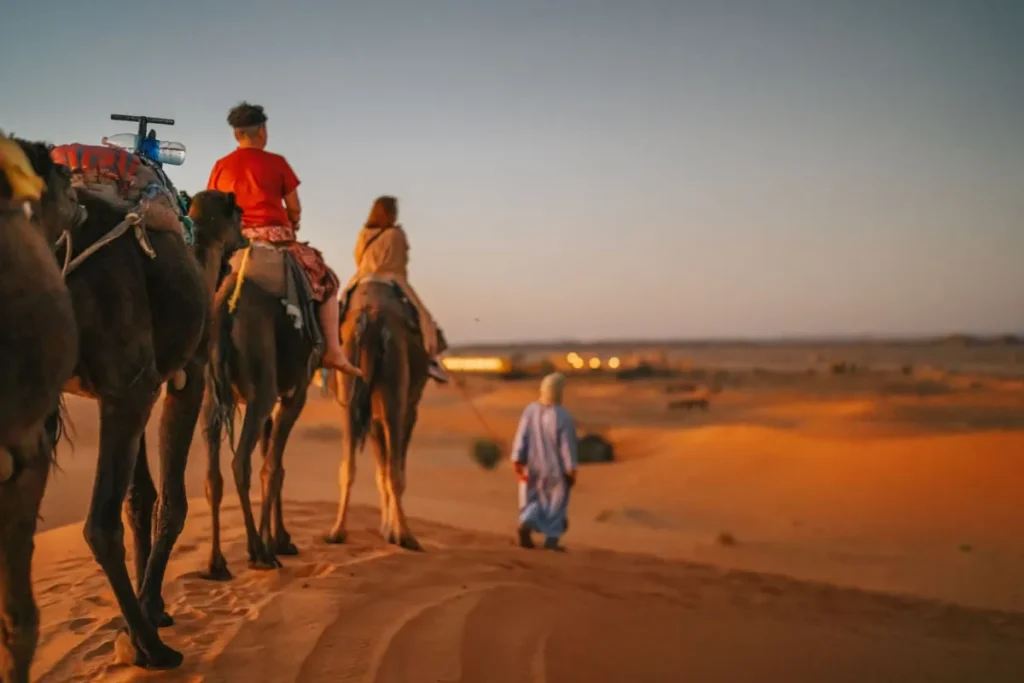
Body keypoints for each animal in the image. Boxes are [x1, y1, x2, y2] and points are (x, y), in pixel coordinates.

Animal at [323, 278, 428, 548]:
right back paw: (407, 536)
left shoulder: (372, 420)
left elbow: (381, 471)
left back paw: (337, 531)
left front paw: (386, 529)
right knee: (394, 471)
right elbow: (393, 469)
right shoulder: (408, 412)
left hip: (349, 380)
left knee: (348, 465)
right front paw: (391, 531)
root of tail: (368, 319)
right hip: (395, 392)